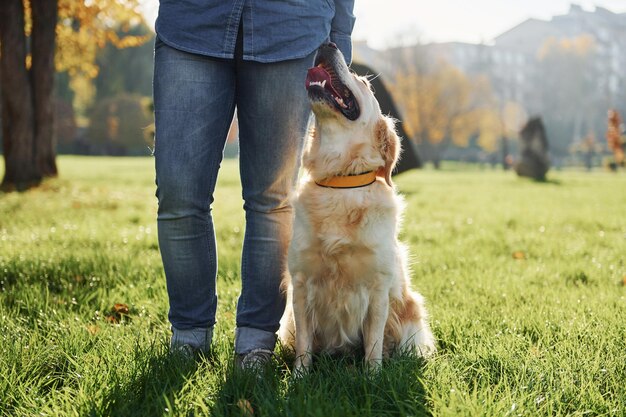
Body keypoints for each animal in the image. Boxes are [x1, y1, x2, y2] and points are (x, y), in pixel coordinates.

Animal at [280, 44, 436, 370]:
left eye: (363, 82)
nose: (328, 44)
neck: (341, 182)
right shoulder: (300, 283)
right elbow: (304, 345)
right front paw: (300, 375)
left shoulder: (378, 287)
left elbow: (374, 344)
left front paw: (373, 375)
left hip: (411, 312)